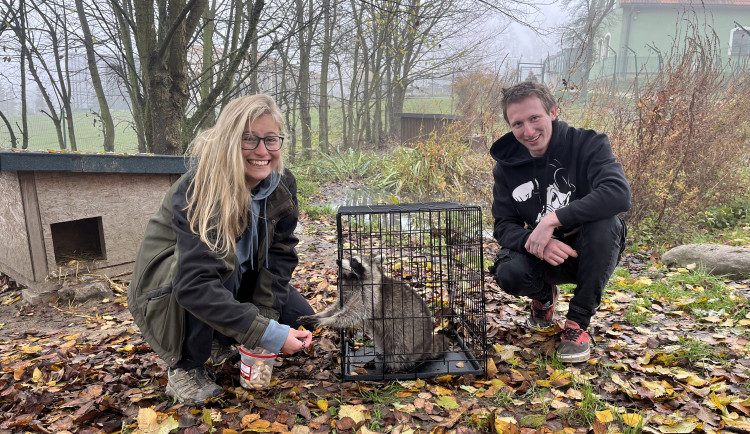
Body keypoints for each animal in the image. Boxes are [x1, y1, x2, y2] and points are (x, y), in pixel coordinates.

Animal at [302, 256, 452, 372]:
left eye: (354, 261)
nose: (338, 261)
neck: (354, 279)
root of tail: (426, 344)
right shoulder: (347, 291)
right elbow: (337, 307)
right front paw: (322, 315)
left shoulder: (369, 295)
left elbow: (352, 314)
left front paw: (328, 320)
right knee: (383, 337)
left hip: (409, 335)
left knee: (399, 345)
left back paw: (395, 365)